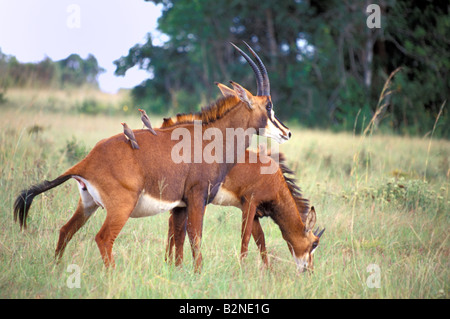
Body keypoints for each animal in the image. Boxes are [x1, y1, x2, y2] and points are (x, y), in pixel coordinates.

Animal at [13, 42, 292, 272]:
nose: (287, 132)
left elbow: (179, 241)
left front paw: (178, 273)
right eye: (269, 106)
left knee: (65, 231)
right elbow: (196, 237)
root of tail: (86, 162)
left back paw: (56, 269)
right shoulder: (197, 197)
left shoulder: (180, 205)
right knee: (103, 238)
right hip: (121, 207)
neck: (213, 137)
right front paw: (198, 273)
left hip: (88, 204)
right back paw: (112, 275)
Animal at [165, 151, 324, 274]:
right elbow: (246, 237)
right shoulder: (250, 203)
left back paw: (168, 263)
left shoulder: (254, 213)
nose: (310, 270)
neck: (274, 178)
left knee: (172, 224)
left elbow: (260, 239)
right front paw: (242, 268)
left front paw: (269, 271)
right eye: (315, 243)